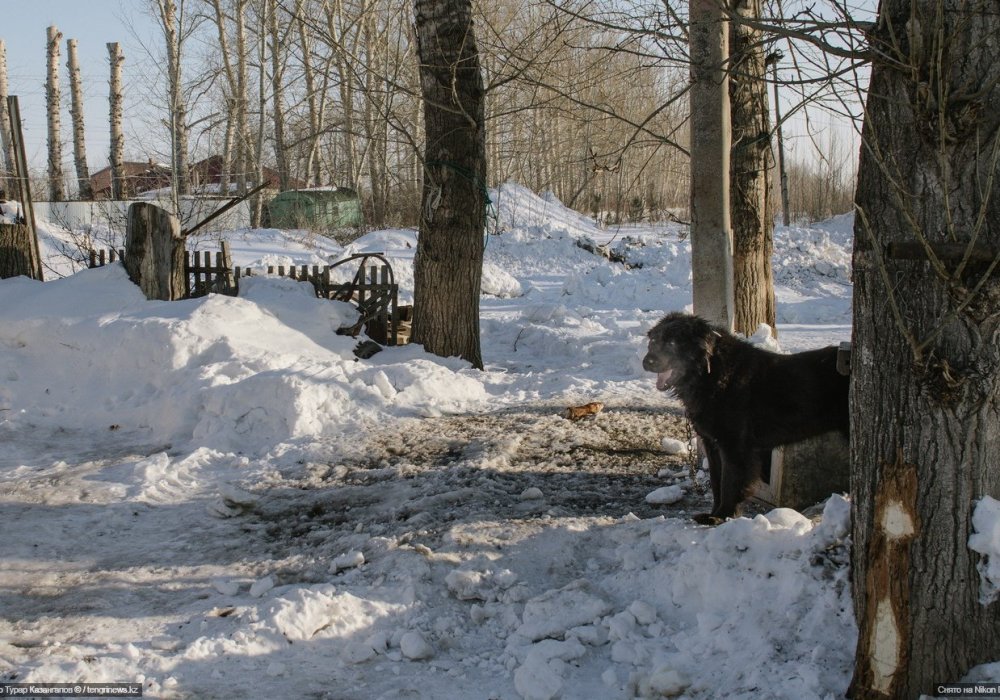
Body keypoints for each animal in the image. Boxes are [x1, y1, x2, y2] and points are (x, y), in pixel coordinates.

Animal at [644, 314, 848, 524]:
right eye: (653, 341)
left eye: (672, 343)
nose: (647, 361)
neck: (712, 374)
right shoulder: (712, 444)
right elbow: (716, 482)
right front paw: (713, 514)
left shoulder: (735, 446)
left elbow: (729, 483)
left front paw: (722, 516)